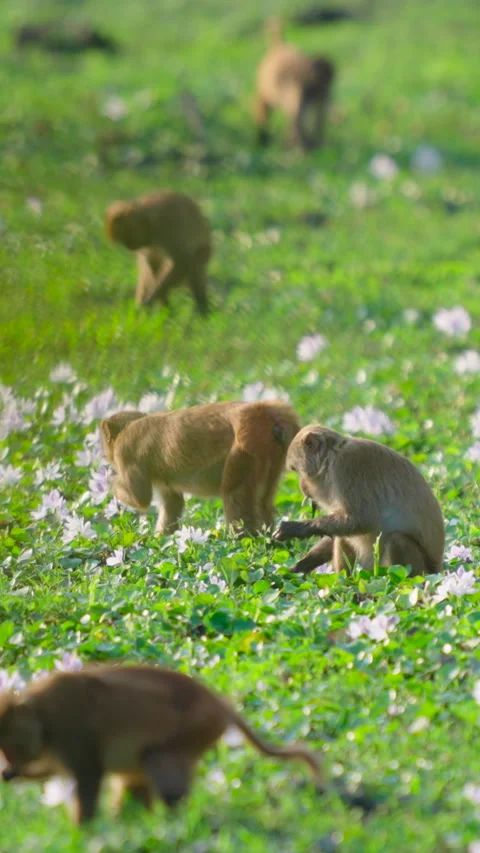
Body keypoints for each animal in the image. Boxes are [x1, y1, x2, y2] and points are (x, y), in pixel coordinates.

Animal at [0, 665, 322, 824]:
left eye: (14, 745)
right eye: (4, 749)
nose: (8, 769)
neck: (40, 714)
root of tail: (221, 707)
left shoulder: (74, 736)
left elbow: (90, 777)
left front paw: (84, 830)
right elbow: (53, 772)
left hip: (192, 732)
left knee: (157, 763)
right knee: (135, 779)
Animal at [100, 401, 301, 537]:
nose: (105, 455)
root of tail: (268, 413)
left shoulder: (126, 452)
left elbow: (140, 498)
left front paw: (109, 481)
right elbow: (172, 502)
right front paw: (161, 539)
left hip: (247, 445)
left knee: (234, 491)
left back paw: (241, 539)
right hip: (273, 453)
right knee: (263, 499)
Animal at [273, 425, 445, 575]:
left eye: (296, 471)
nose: (301, 485)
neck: (332, 456)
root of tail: (438, 571)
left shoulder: (345, 467)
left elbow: (362, 520)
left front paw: (297, 528)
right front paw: (301, 565)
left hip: (418, 570)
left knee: (396, 540)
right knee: (343, 536)